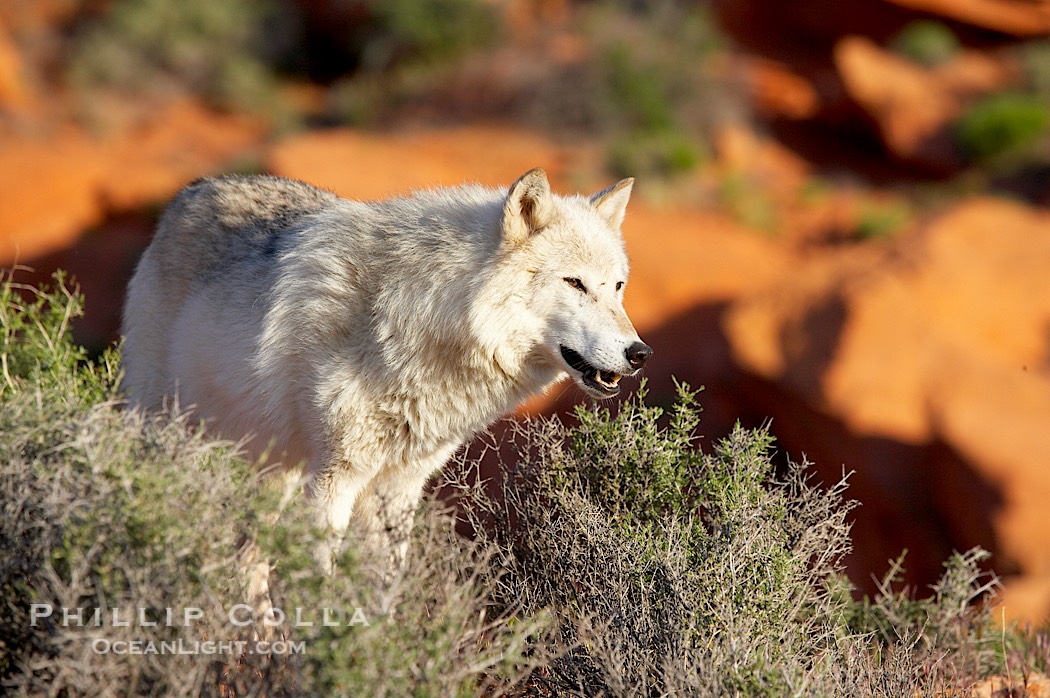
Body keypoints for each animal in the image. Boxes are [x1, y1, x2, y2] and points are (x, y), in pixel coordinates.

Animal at [121, 167, 652, 564]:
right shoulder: (335, 480)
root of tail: (195, 188)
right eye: (575, 283)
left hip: (276, 471)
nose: (639, 353)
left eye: (618, 287)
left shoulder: (397, 489)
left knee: (249, 562)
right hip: (173, 434)